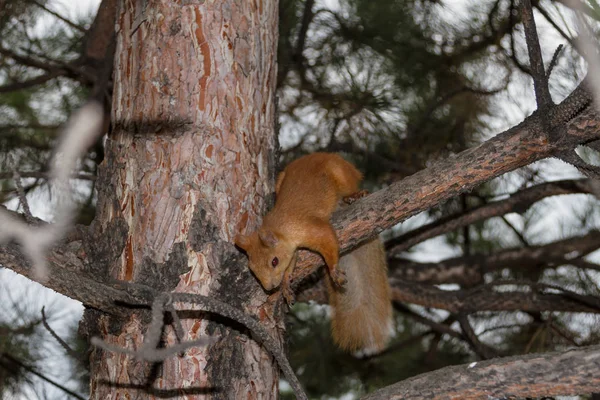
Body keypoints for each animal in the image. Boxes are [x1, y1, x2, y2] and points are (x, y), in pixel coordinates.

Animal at [234, 152, 394, 354]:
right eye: (252, 269)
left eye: (274, 261)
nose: (270, 287)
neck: (281, 226)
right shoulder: (292, 251)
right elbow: (290, 267)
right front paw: (285, 285)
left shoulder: (311, 229)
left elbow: (328, 241)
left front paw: (333, 270)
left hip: (341, 172)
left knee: (350, 186)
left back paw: (354, 195)